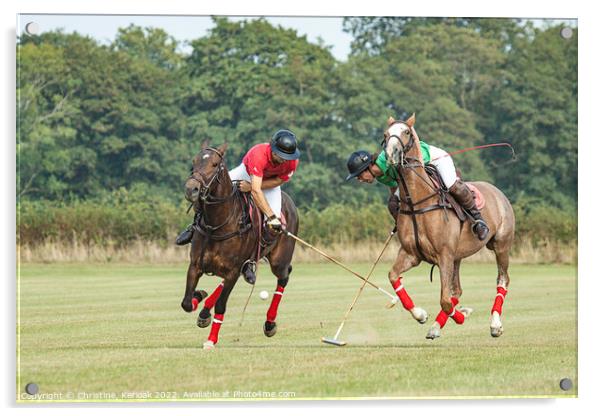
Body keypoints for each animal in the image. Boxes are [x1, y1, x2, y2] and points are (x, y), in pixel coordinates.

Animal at [179, 141, 298, 350]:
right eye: (194, 161)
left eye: (215, 164)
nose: (191, 189)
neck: (217, 224)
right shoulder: (195, 265)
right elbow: (186, 303)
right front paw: (199, 295)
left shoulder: (233, 271)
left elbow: (221, 306)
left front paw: (211, 340)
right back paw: (204, 311)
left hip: (279, 261)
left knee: (284, 277)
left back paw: (270, 323)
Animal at [382, 114, 512, 338]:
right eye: (385, 134)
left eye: (406, 132)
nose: (391, 154)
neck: (417, 203)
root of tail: (498, 191)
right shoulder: (411, 254)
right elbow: (393, 276)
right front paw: (421, 315)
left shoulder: (444, 255)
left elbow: (444, 300)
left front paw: (461, 316)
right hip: (458, 256)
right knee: (457, 290)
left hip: (501, 245)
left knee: (502, 280)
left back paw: (495, 324)